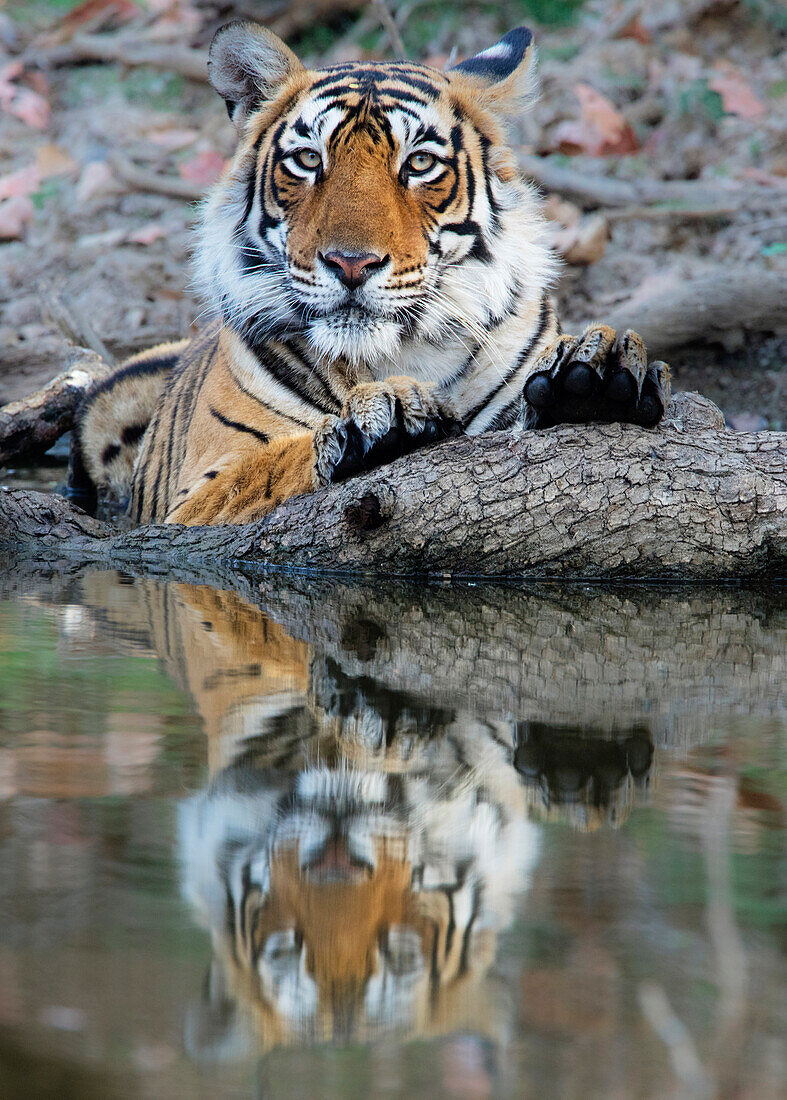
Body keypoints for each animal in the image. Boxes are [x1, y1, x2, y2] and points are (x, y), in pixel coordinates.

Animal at [70, 19, 669, 525]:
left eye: (420, 163)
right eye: (308, 160)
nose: (351, 264)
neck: (397, 355)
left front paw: (592, 377)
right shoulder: (197, 498)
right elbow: (270, 466)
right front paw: (384, 422)